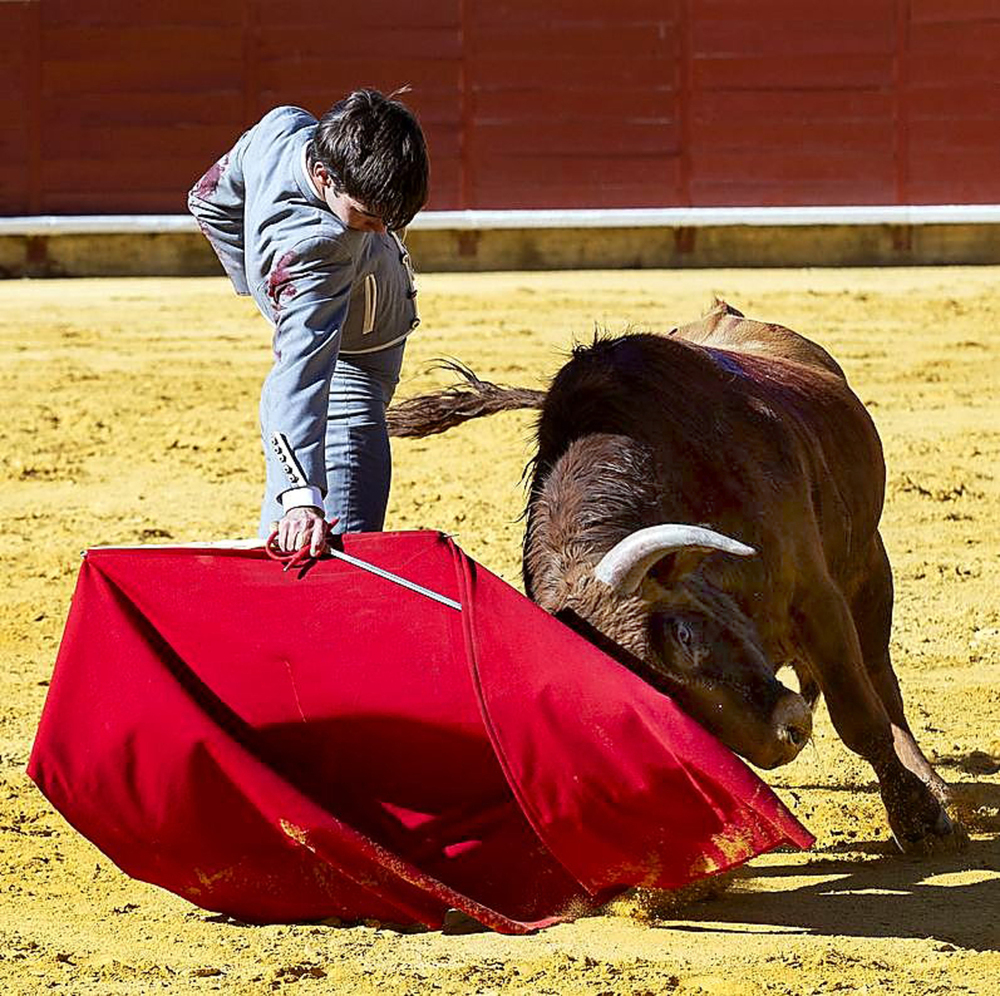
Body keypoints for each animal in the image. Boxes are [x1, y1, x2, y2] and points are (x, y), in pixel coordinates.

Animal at [386, 300, 956, 852]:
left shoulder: (817, 598)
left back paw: (931, 785)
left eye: (684, 634)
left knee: (881, 677)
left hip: (868, 564)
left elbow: (859, 716)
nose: (787, 736)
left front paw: (919, 819)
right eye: (656, 703)